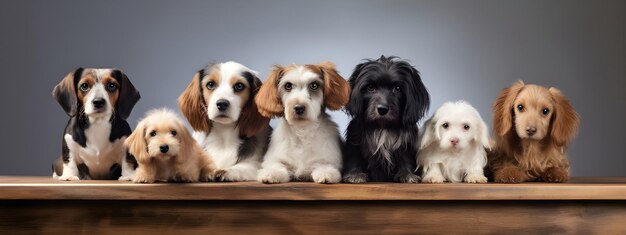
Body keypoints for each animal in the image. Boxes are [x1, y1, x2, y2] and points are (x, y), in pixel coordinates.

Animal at [342, 55, 428, 184]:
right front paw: (355, 174)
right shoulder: (355, 139)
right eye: (371, 87)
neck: (382, 126)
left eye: (397, 88)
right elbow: (354, 156)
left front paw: (406, 174)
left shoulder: (407, 142)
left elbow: (405, 156)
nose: (382, 109)